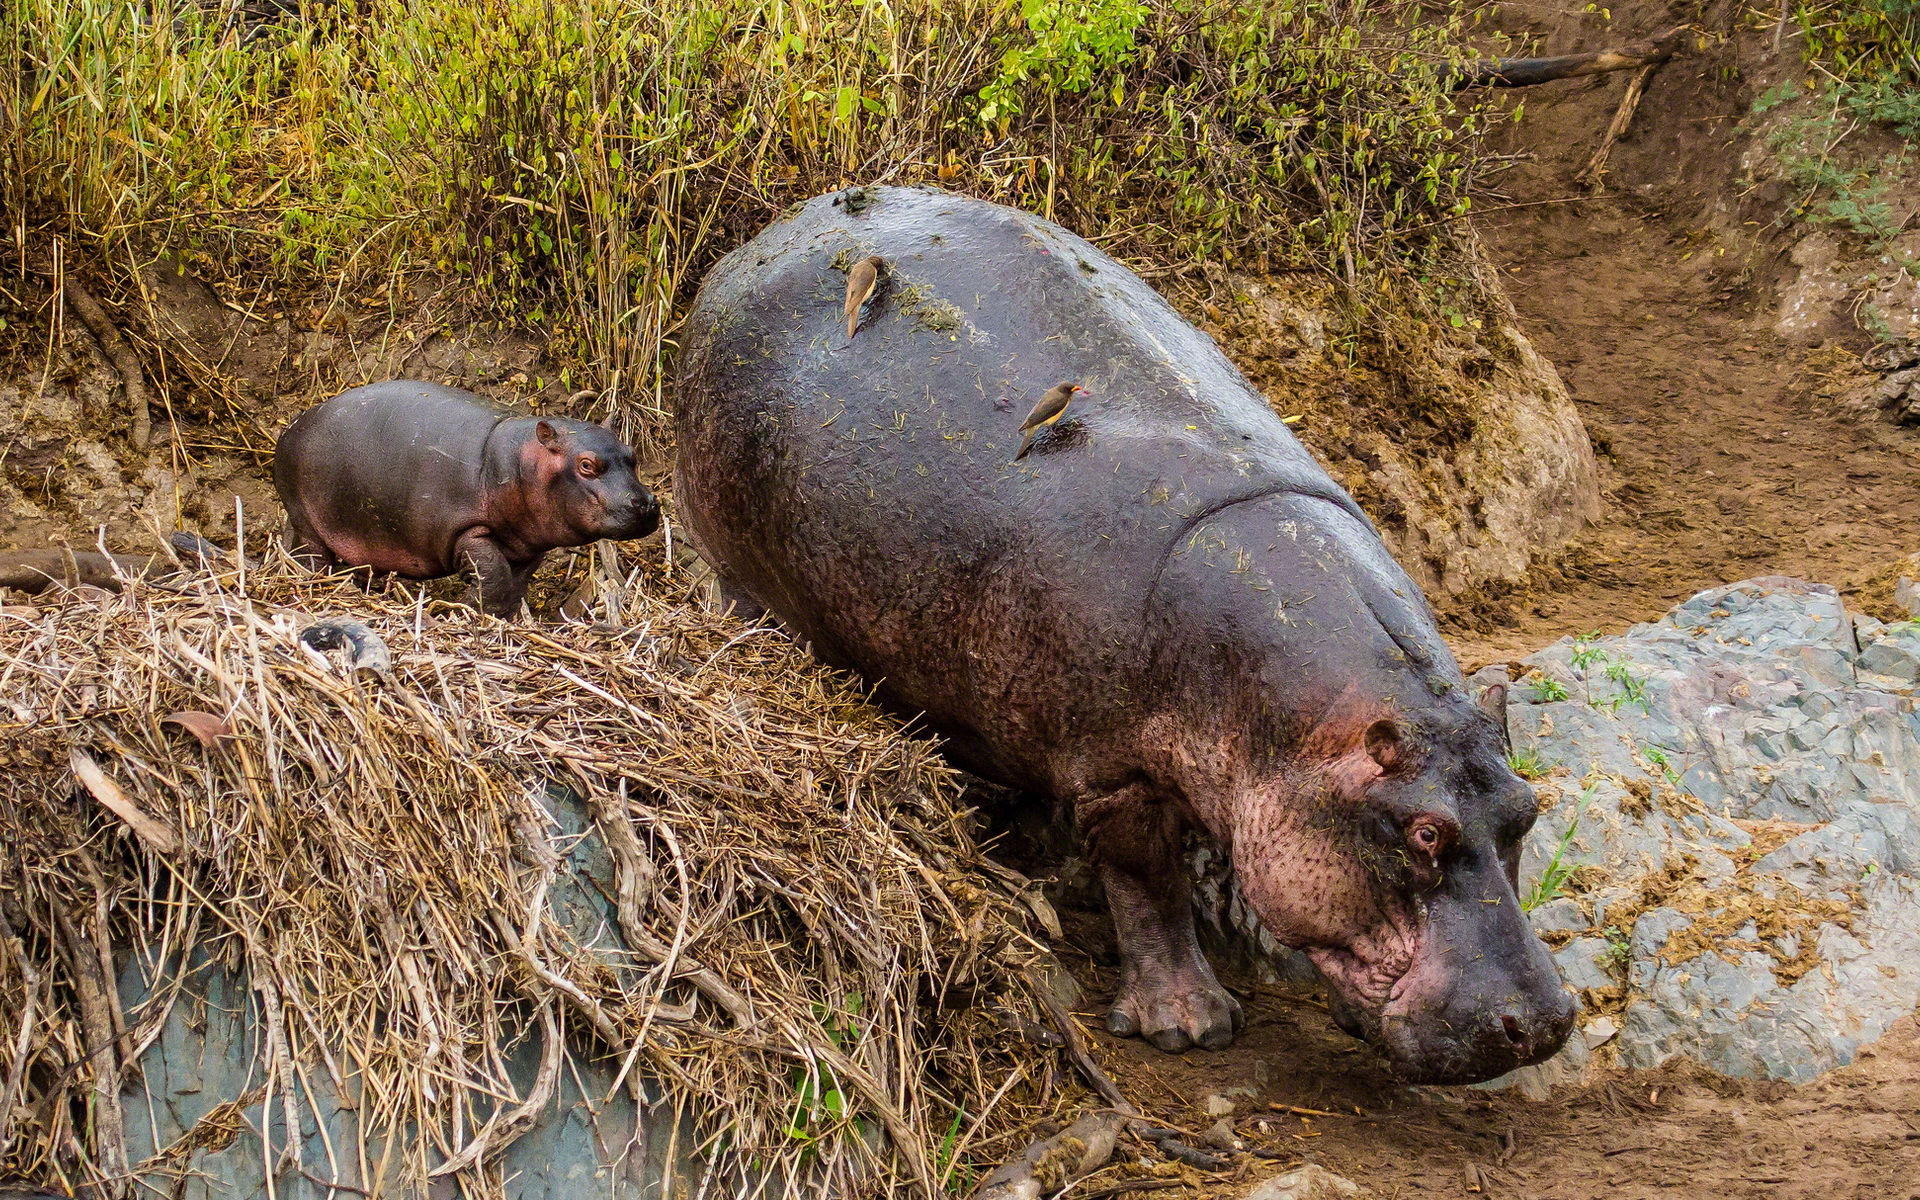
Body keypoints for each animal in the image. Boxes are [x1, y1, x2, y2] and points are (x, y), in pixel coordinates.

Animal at [273, 381, 658, 616]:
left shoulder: (528, 546)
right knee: (310, 555)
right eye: (586, 464)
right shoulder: (467, 530)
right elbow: (495, 575)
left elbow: (515, 584)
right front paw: (462, 609)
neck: (518, 462)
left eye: (633, 453)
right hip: (307, 519)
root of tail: (290, 427)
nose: (647, 504)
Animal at [674, 187, 1573, 1083]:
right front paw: (1190, 1027)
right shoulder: (1116, 771)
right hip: (737, 572)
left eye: (1526, 809)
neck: (1309, 734)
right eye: (1425, 832)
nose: (1542, 1022)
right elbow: (1148, 883)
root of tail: (756, 244)